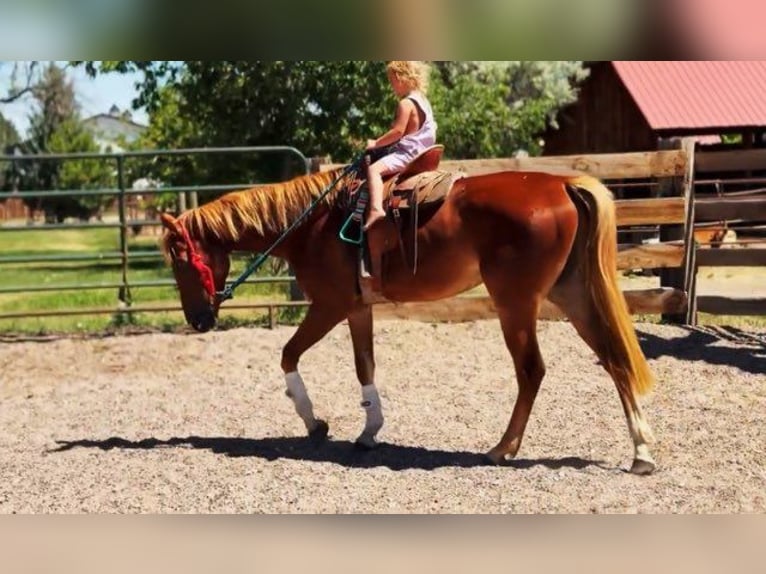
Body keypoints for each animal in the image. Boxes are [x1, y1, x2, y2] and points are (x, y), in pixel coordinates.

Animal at [159, 166, 658, 475]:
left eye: (181, 262)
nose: (197, 320)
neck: (309, 225)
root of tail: (562, 184)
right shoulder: (357, 308)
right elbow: (364, 366)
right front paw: (368, 431)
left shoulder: (328, 305)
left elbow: (288, 355)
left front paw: (314, 422)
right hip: (569, 294)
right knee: (613, 357)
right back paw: (641, 452)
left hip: (515, 303)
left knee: (531, 370)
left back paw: (503, 449)